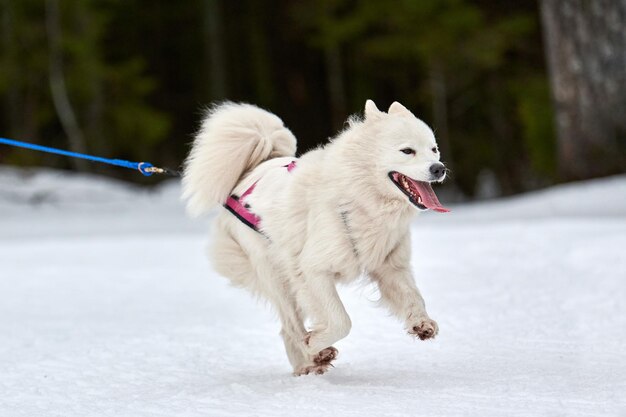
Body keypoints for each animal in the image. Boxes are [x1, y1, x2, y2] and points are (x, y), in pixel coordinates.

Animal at [182, 99, 448, 376]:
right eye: (407, 151)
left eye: (434, 149)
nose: (439, 168)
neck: (359, 200)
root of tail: (252, 170)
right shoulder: (313, 270)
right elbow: (342, 320)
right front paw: (315, 344)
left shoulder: (391, 266)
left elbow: (413, 297)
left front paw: (422, 324)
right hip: (274, 273)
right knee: (290, 325)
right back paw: (310, 359)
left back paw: (307, 365)